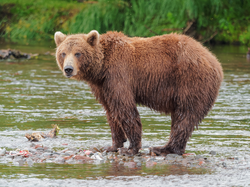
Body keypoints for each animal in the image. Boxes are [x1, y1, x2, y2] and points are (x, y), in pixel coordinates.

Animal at [54, 30, 223, 156]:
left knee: (185, 115)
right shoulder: (102, 86)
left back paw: (164, 148)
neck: (101, 69)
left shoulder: (118, 75)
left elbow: (125, 109)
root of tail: (214, 61)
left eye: (78, 53)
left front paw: (130, 149)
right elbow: (111, 112)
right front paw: (112, 145)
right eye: (63, 53)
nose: (68, 69)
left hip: (191, 81)